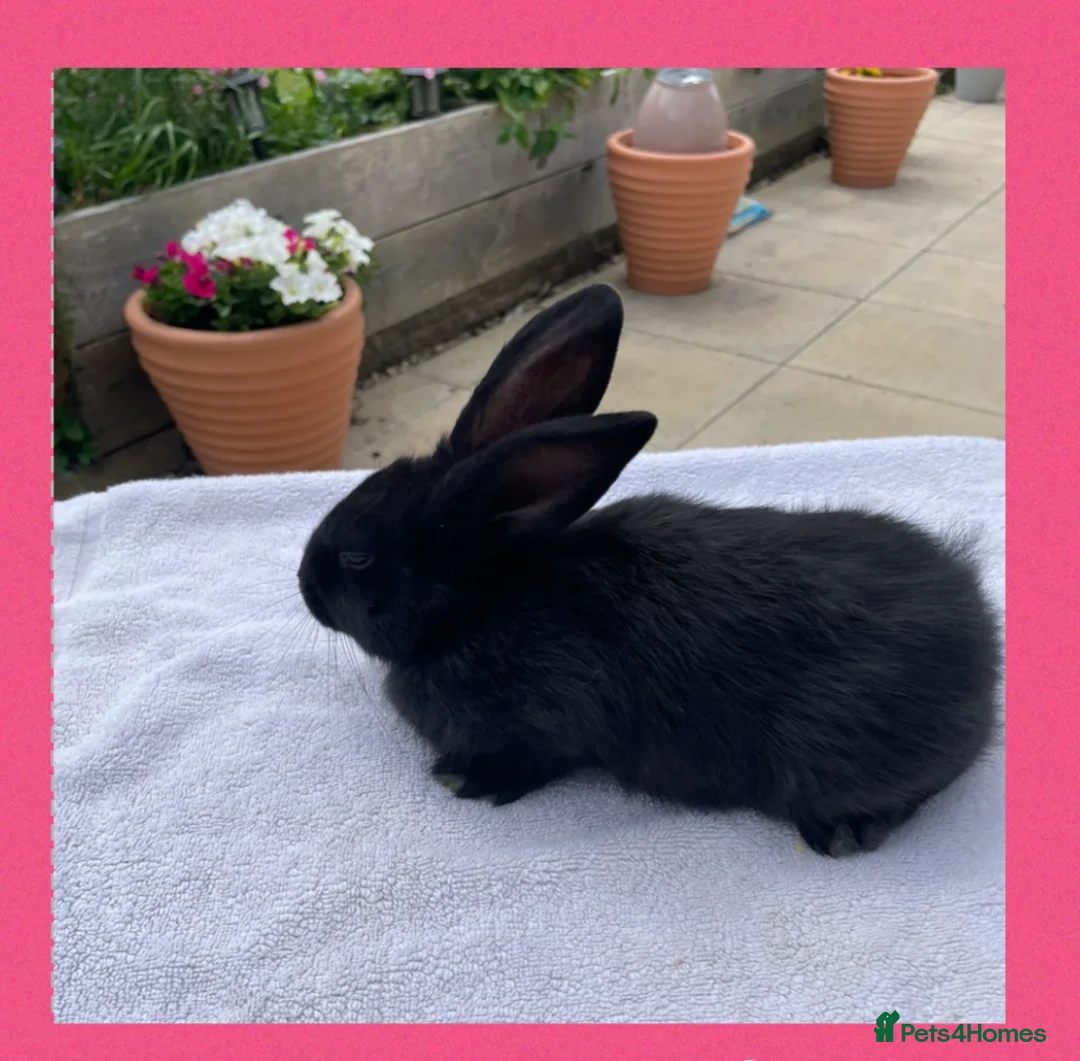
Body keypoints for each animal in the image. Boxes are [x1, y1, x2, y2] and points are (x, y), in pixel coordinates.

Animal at [298, 284, 1001, 857]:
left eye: (358, 557)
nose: (305, 588)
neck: (479, 605)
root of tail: (979, 631)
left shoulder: (552, 722)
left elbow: (537, 759)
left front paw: (465, 778)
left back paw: (844, 832)